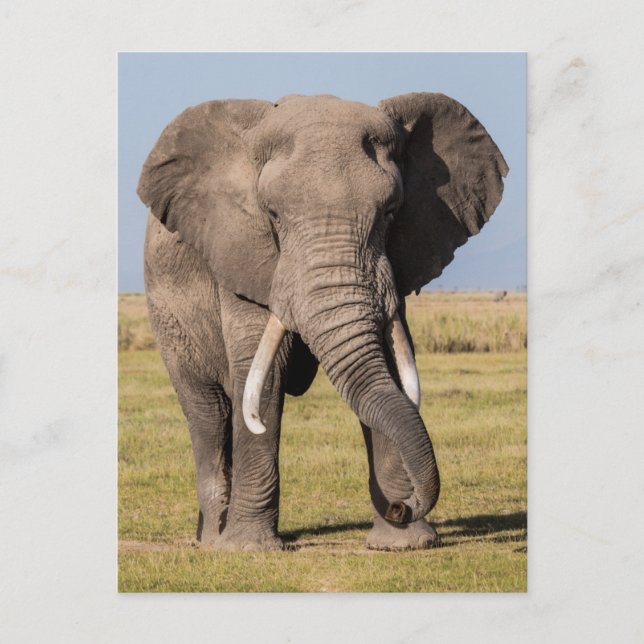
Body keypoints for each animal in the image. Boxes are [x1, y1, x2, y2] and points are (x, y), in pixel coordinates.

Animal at [137, 92, 508, 551]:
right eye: (272, 215)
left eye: (390, 213)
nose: (401, 506)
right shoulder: (244, 255)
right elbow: (264, 375)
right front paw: (248, 550)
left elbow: (386, 363)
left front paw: (405, 544)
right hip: (167, 315)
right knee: (208, 412)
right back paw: (212, 540)